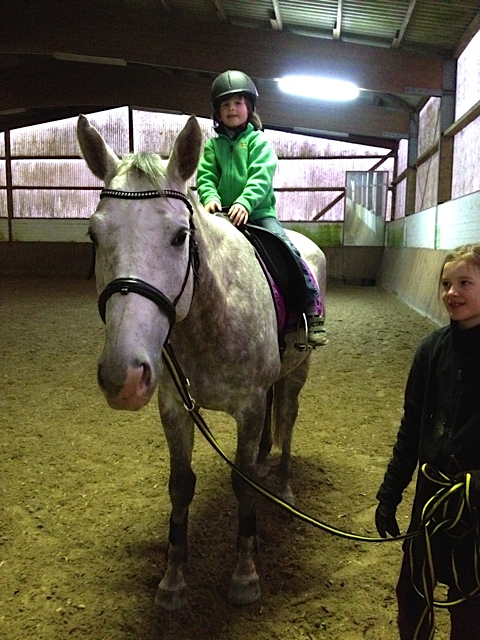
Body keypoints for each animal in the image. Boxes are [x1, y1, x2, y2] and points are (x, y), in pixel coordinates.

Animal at [78, 115, 326, 608]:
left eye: (180, 236)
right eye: (94, 236)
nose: (123, 377)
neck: (211, 316)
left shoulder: (249, 406)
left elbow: (242, 484)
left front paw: (245, 575)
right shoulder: (175, 407)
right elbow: (180, 484)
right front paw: (173, 578)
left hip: (298, 374)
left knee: (287, 418)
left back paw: (284, 486)